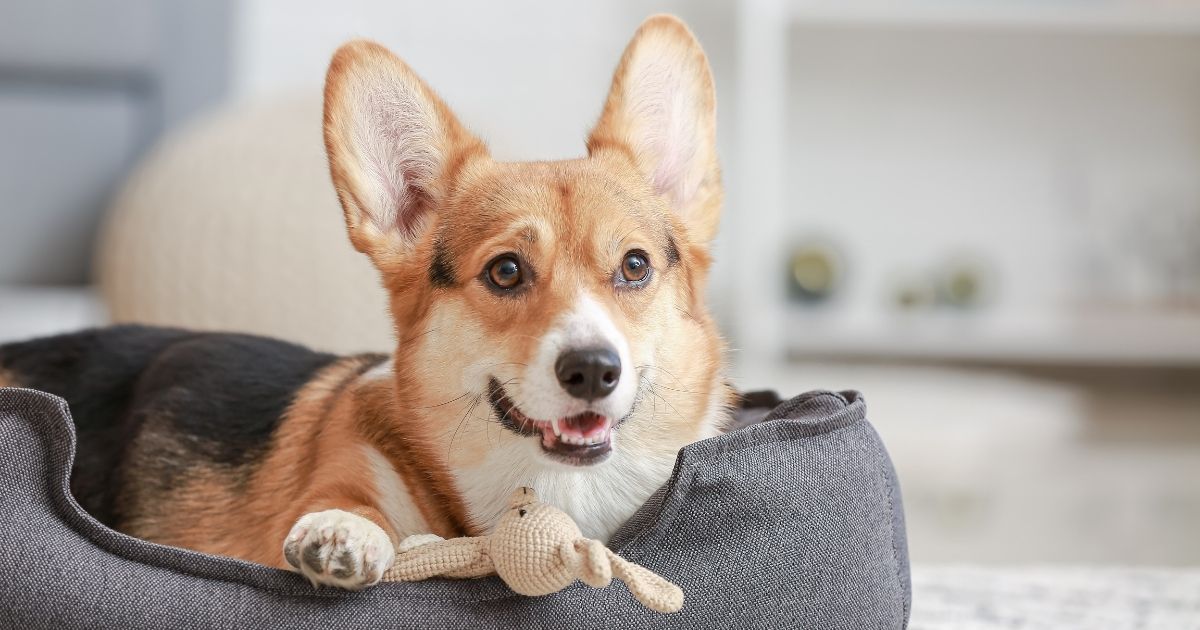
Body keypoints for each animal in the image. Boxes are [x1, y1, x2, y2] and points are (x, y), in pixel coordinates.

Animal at [0, 17, 729, 592]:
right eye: (505, 272)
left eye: (634, 266)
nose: (593, 370)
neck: (546, 488)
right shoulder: (346, 470)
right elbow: (350, 507)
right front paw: (343, 534)